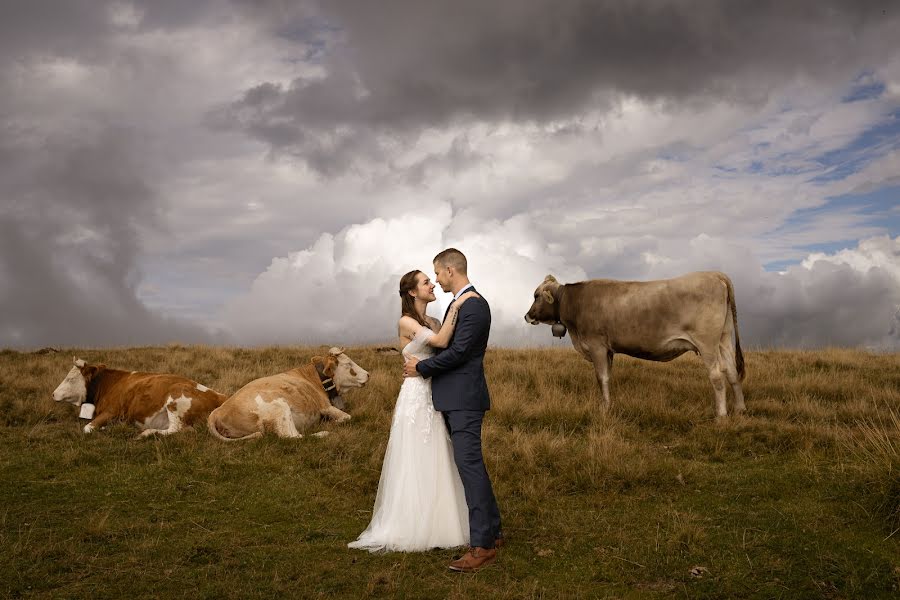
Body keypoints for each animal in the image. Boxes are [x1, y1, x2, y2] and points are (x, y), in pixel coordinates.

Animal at [53, 356, 229, 436]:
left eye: (70, 379)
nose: (53, 394)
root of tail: (218, 395)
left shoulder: (112, 411)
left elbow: (87, 428)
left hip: (175, 401)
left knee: (177, 430)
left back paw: (146, 433)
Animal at [207, 346, 370, 440]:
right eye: (348, 364)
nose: (368, 374)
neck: (315, 379)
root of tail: (217, 411)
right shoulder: (325, 406)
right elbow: (347, 417)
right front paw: (333, 422)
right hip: (280, 406)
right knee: (292, 437)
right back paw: (322, 433)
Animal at [524, 272, 748, 418]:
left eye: (536, 295)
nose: (527, 316)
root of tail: (714, 274)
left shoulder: (596, 346)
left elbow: (601, 377)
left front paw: (605, 408)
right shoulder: (608, 350)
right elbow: (607, 377)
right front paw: (608, 403)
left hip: (707, 343)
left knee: (717, 375)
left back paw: (721, 415)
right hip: (724, 339)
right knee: (732, 372)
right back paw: (740, 409)